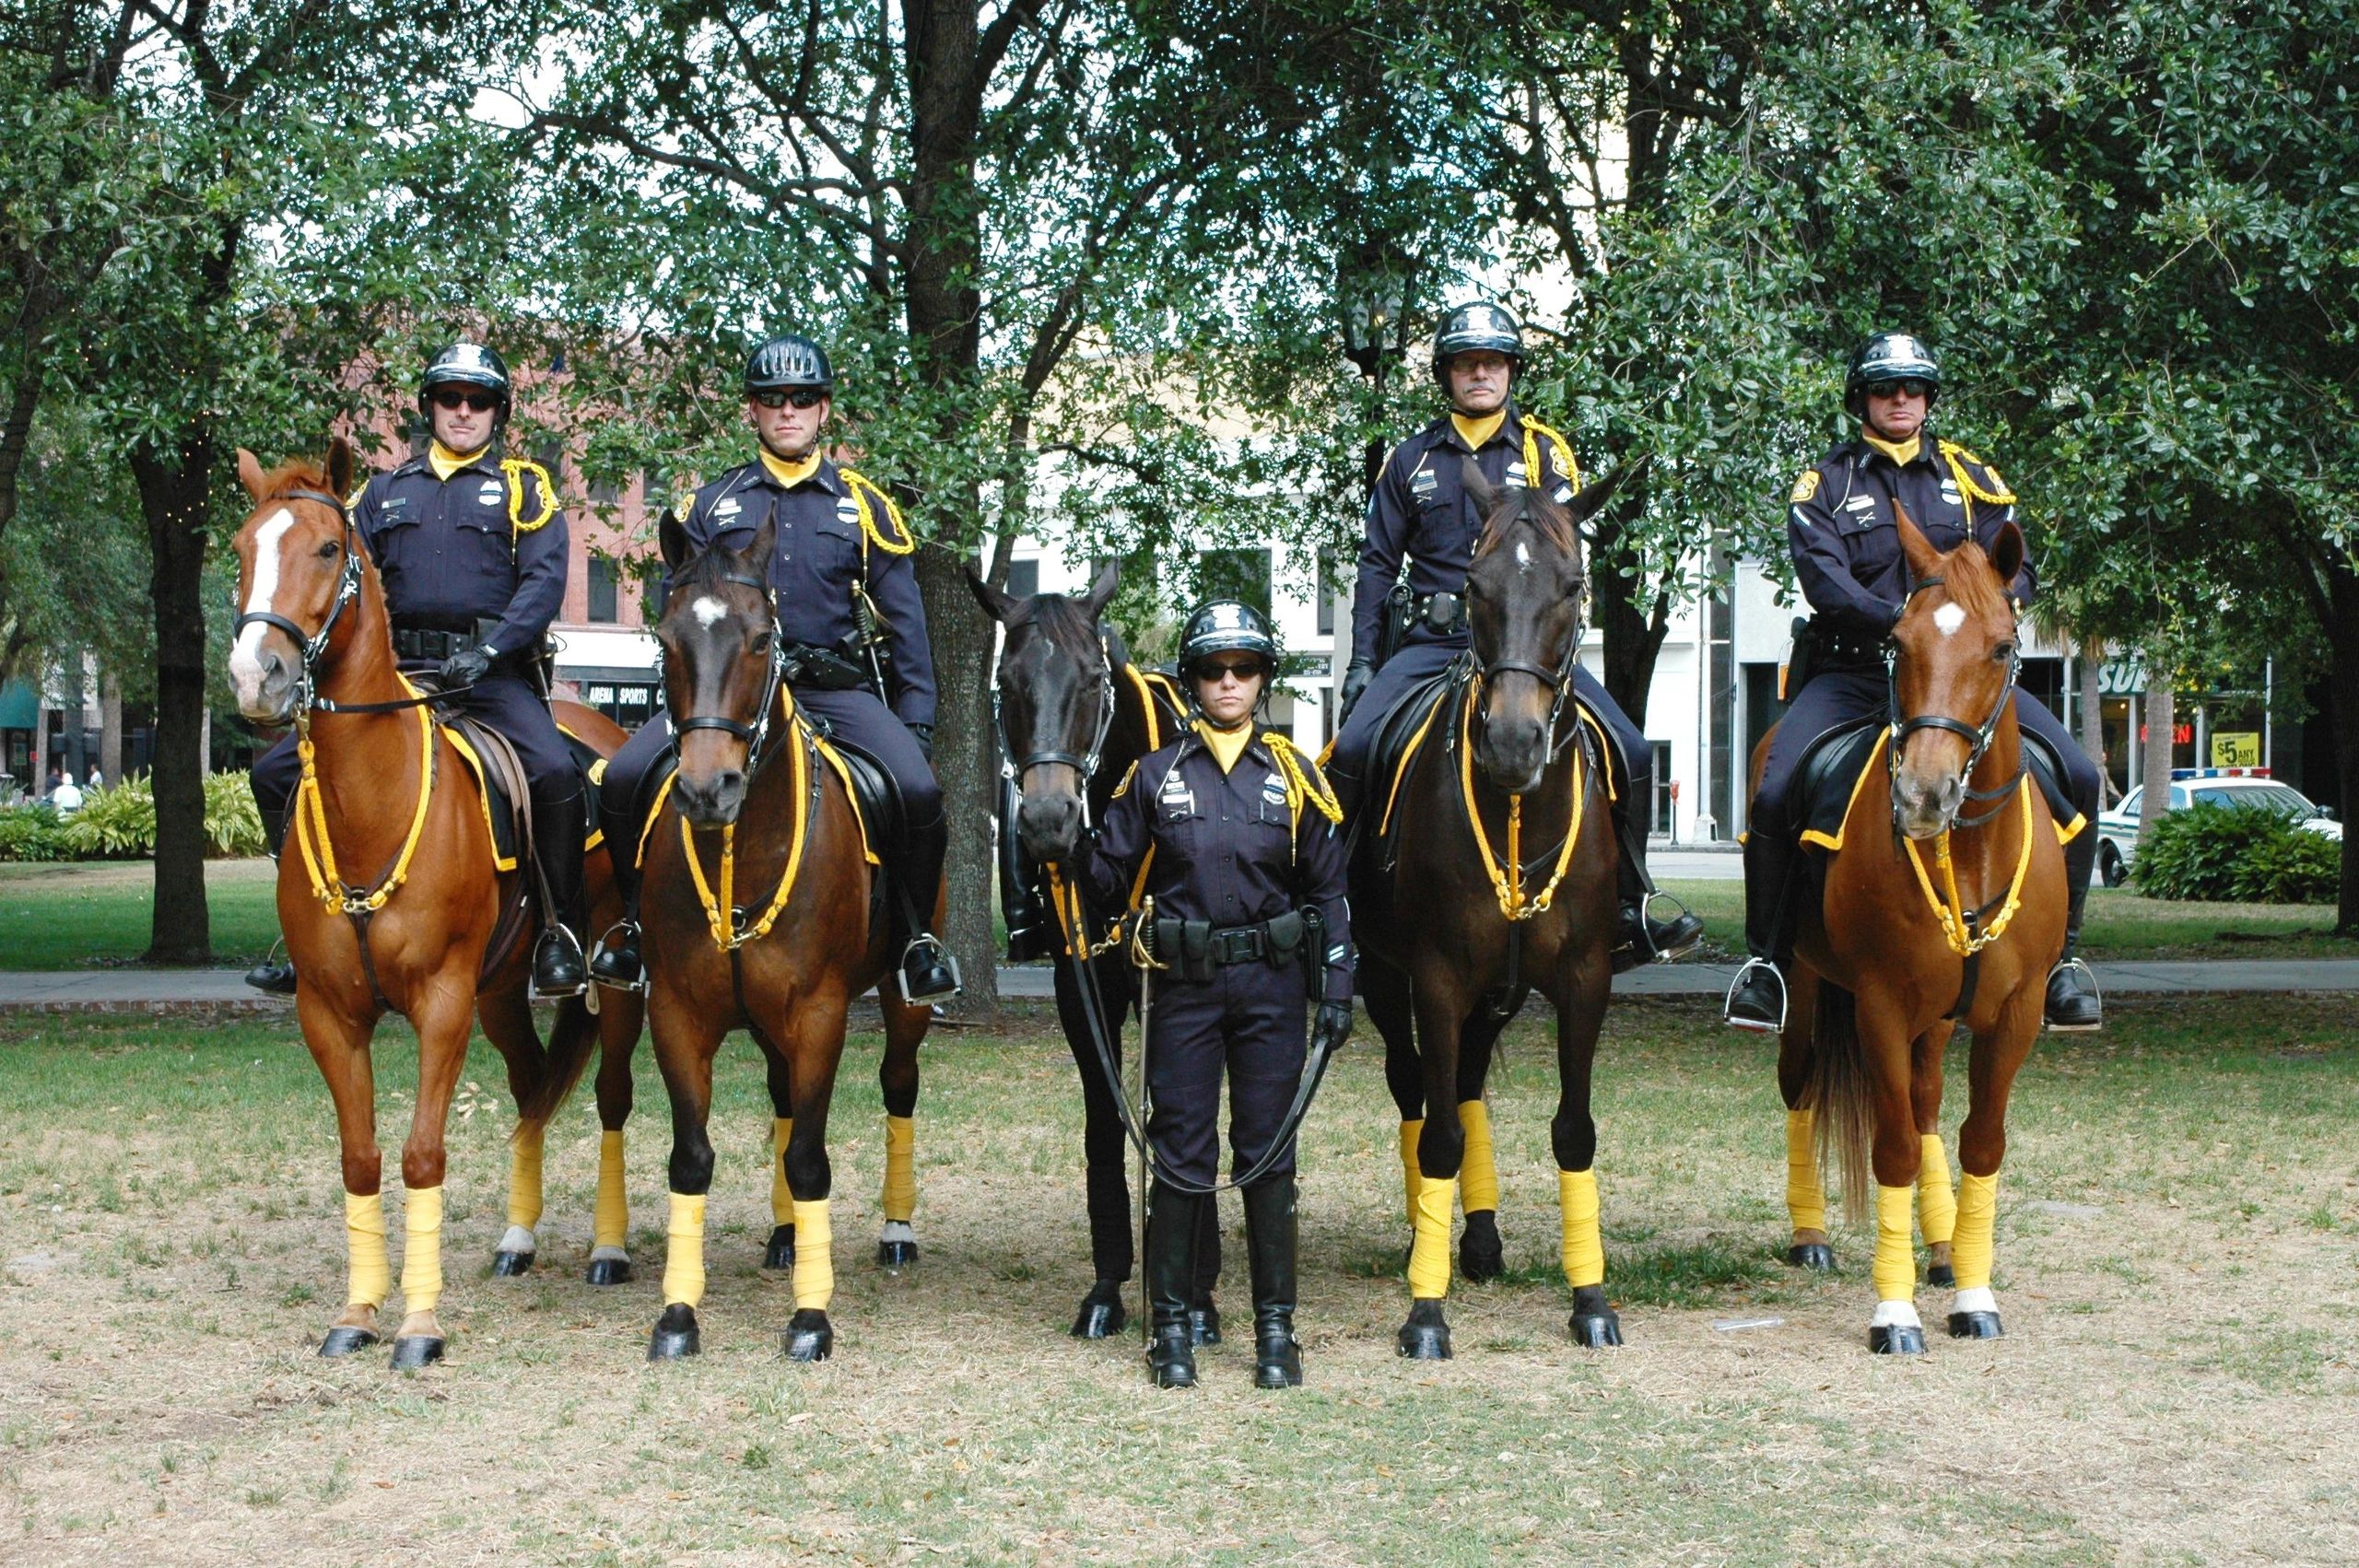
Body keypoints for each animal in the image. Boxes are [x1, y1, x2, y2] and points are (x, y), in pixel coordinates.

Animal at [228, 433, 646, 1367]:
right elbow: (361, 1159)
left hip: (610, 983)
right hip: (502, 994)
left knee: (610, 1098)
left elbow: (422, 1156)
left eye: (327, 550)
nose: (254, 676)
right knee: (530, 1089)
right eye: (240, 550)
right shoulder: (330, 1012)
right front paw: (358, 1311)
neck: (370, 805)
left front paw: (418, 1324)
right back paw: (519, 1239)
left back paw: (607, 1249)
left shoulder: (442, 1003)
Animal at [646, 507, 938, 1348]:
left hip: (903, 1003)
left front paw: (812, 1314)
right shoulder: (675, 1013)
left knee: (899, 1087)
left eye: (757, 639)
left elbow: (810, 1157)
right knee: (778, 1095)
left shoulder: (820, 1013)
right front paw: (678, 1311)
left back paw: (895, 1232)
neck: (743, 849)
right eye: (667, 637)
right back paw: (783, 1236)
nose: (707, 789)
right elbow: (691, 1158)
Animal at [967, 558, 1236, 1329]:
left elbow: (1178, 1111)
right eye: (1007, 683)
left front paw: (1196, 1290)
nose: (1048, 820)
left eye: (1092, 678)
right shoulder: (1080, 983)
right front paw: (1111, 1283)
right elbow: (1107, 1119)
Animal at [1358, 462, 1632, 1358]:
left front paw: (1590, 1299)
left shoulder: (1584, 980)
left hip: (1497, 992)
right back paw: (1429, 1234)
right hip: (1389, 980)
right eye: (1474, 586)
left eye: (1574, 587)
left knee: (1471, 1082)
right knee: (1418, 1090)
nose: (1512, 743)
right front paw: (1425, 1310)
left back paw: (1476, 1237)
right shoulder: (1437, 978)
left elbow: (1572, 1131)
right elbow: (1439, 1133)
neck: (1518, 811)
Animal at [1755, 507, 2066, 1348]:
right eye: (1899, 641)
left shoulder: (2015, 1013)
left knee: (1927, 1105)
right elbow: (1891, 1148)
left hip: (1940, 1016)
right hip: (1808, 990)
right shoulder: (1882, 1005)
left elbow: (1979, 1143)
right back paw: (1811, 1235)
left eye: (2001, 648)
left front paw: (1973, 1291)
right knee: (1801, 1087)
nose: (1925, 794)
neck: (1968, 852)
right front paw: (1893, 1311)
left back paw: (1943, 1249)